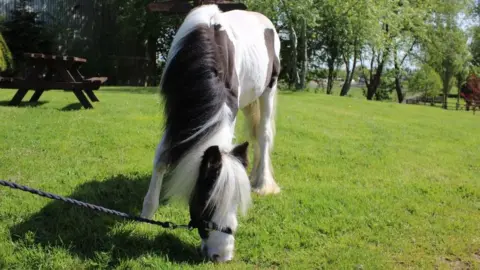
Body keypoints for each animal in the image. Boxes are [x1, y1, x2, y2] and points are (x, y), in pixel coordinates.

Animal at [139, 3, 282, 262]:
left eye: (235, 203)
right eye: (208, 203)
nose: (222, 255)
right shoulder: (175, 112)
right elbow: (161, 158)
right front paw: (147, 213)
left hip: (269, 88)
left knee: (264, 135)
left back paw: (262, 183)